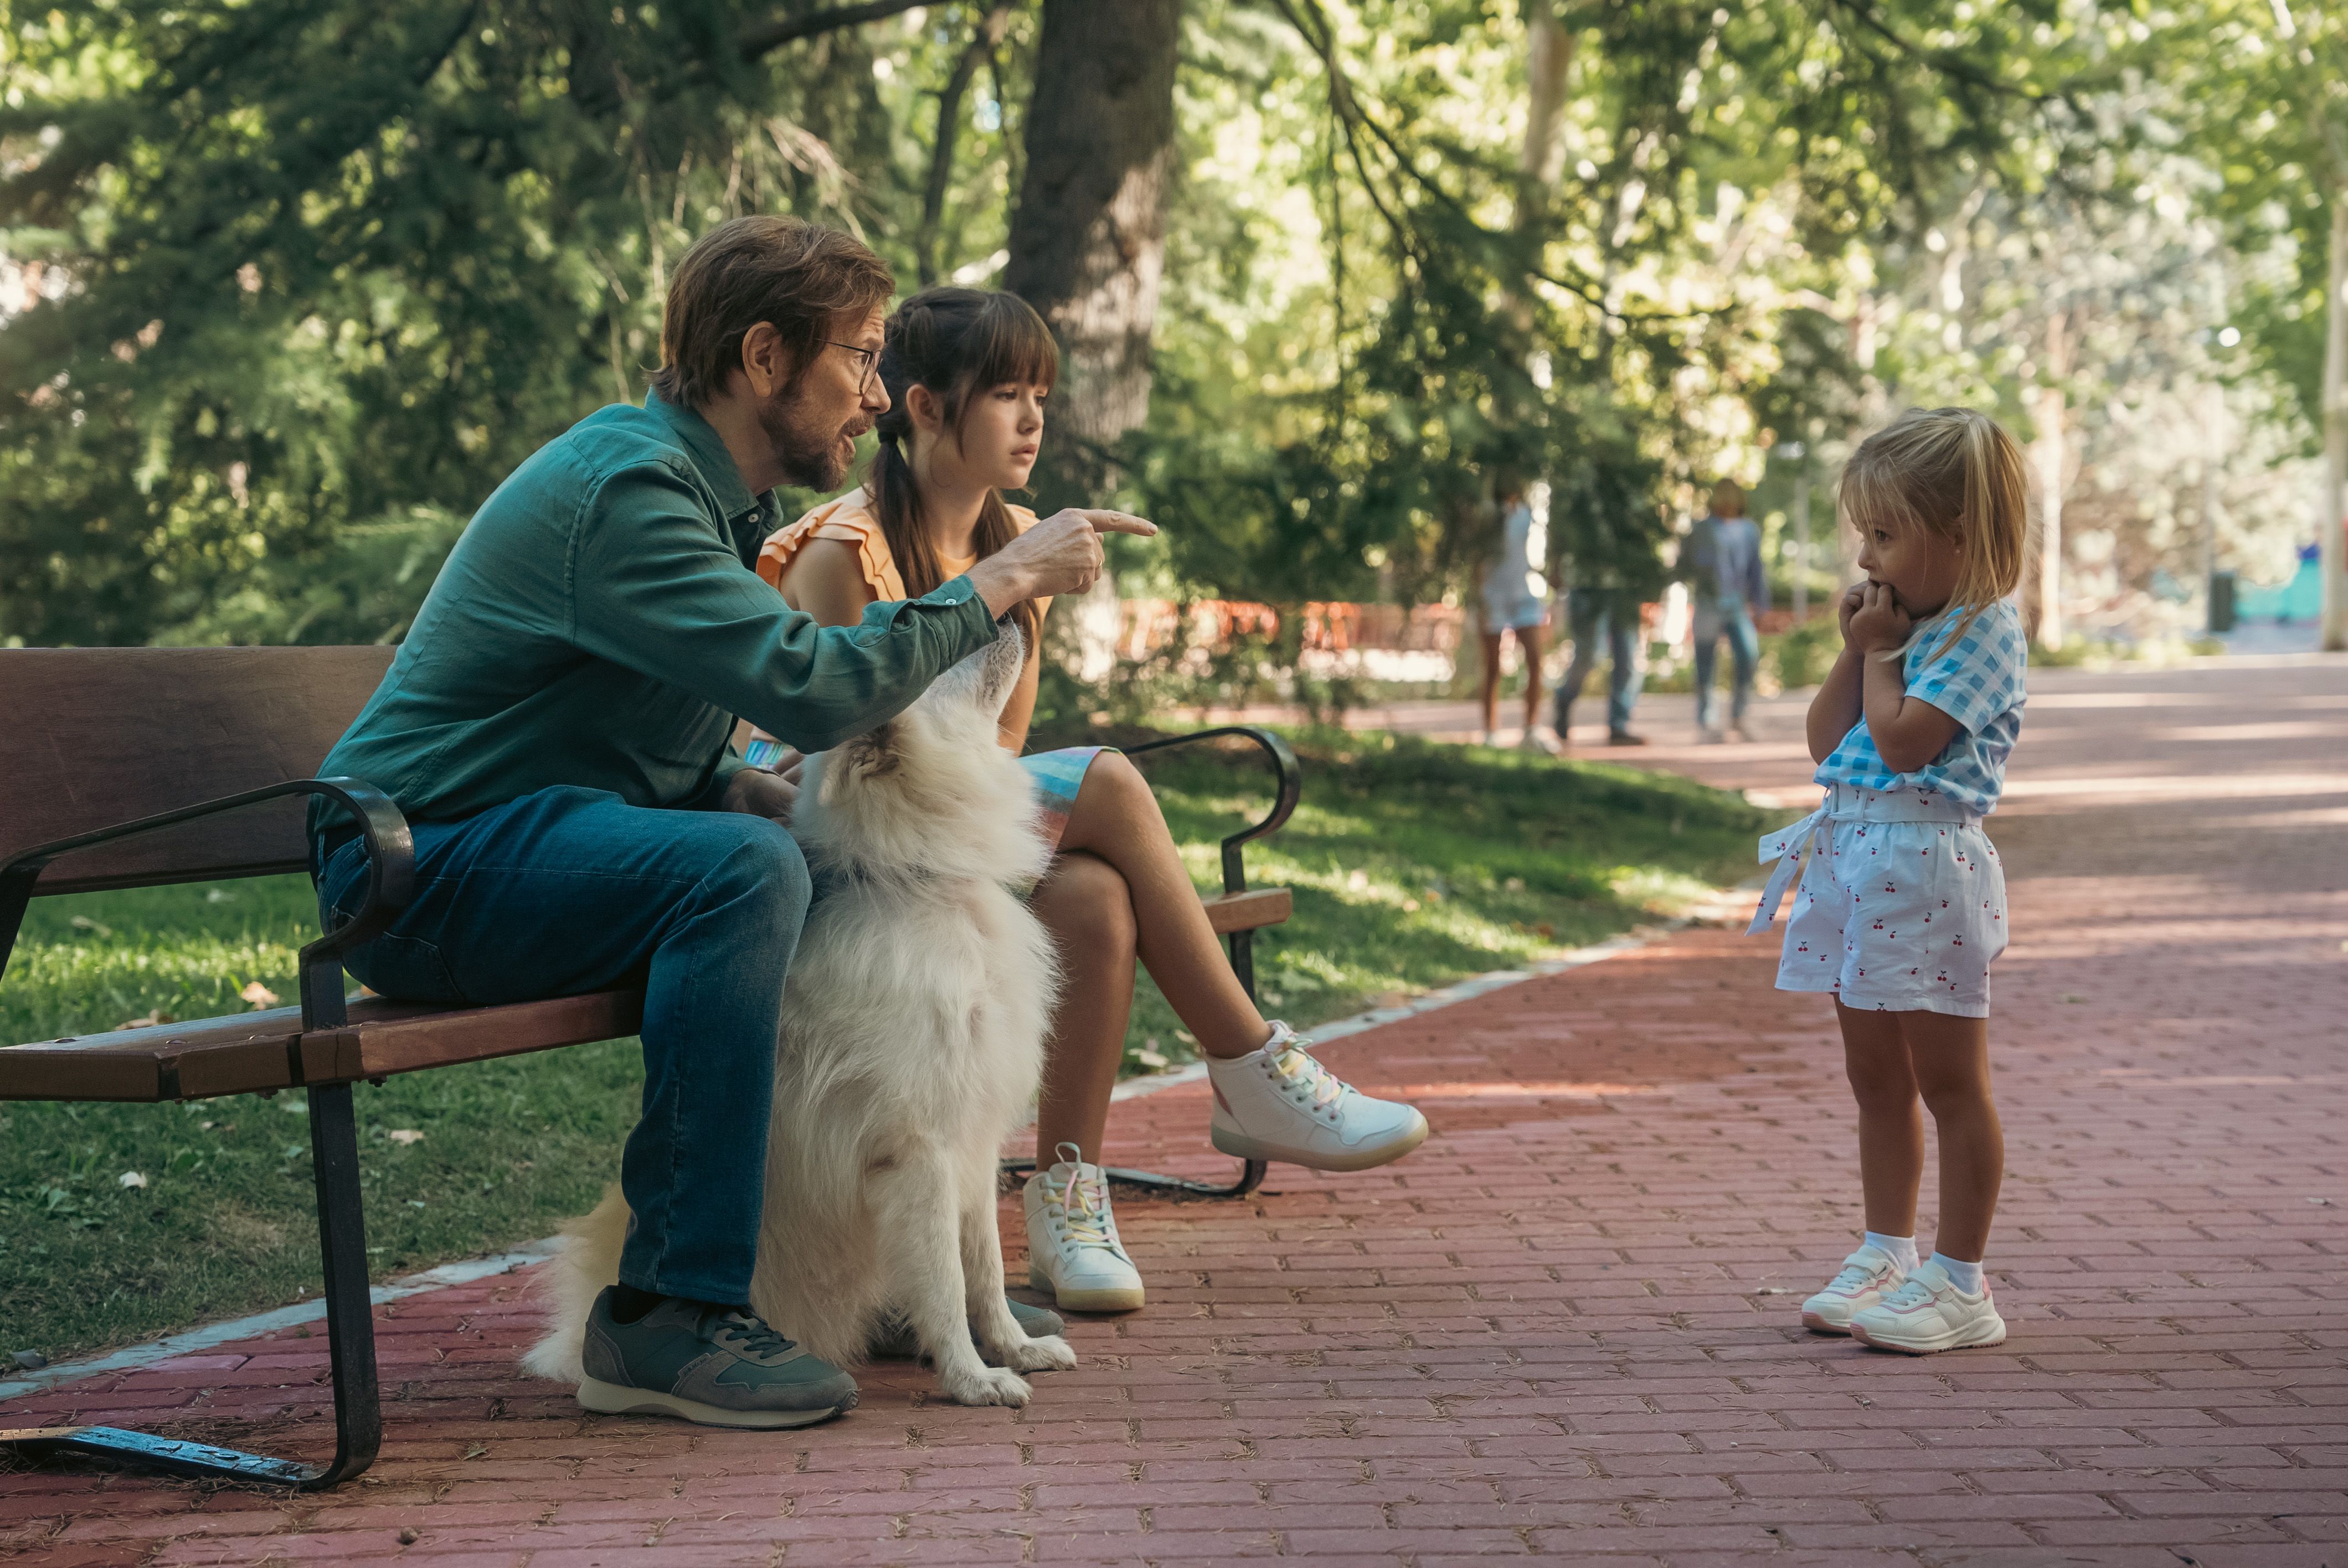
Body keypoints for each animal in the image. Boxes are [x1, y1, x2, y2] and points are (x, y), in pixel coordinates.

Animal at [528, 629, 1075, 1417]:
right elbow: (946, 1277)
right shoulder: (920, 1151)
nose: (1009, 625)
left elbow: (988, 1266)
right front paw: (973, 1379)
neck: (922, 887)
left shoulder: (973, 1140)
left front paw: (1014, 1348)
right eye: (930, 660)